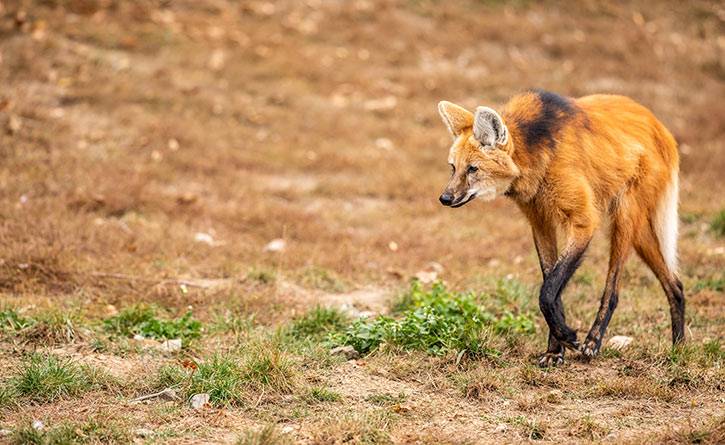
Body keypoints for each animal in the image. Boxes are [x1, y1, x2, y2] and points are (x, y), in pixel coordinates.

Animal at [436, 88, 684, 366]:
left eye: (473, 169)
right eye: (453, 168)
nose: (445, 198)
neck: (536, 154)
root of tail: (660, 127)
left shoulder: (584, 222)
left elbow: (547, 291)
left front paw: (569, 337)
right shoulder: (540, 222)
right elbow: (552, 286)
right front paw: (556, 349)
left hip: (624, 219)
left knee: (614, 289)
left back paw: (593, 342)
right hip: (638, 233)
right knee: (676, 285)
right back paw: (678, 349)